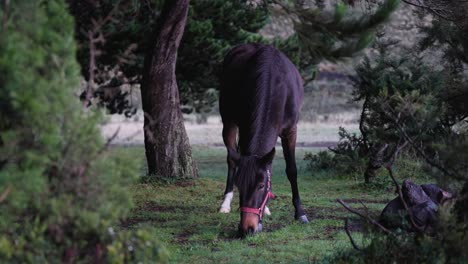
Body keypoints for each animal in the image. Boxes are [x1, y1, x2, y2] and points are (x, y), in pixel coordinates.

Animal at [219, 43, 310, 235]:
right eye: (240, 184)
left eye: (261, 186)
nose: (247, 228)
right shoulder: (245, 125)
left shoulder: (291, 131)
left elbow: (291, 170)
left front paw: (300, 213)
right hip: (228, 122)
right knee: (231, 159)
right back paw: (225, 203)